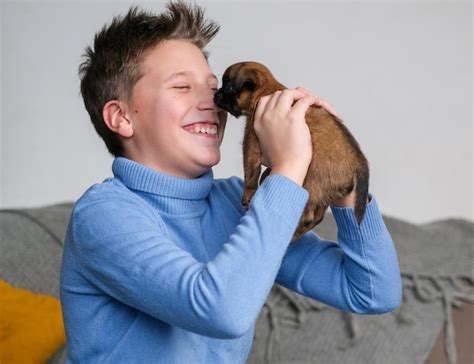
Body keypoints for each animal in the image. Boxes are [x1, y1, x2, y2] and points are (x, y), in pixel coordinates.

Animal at [215, 61, 370, 240]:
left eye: (227, 87)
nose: (215, 94)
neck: (267, 91)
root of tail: (359, 164)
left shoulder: (251, 144)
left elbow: (251, 174)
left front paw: (248, 194)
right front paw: (266, 176)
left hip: (310, 183)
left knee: (309, 216)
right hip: (325, 193)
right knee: (318, 216)